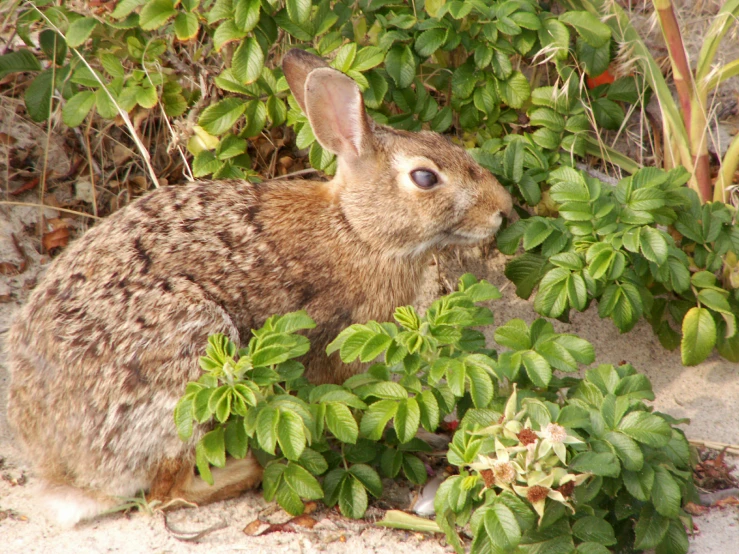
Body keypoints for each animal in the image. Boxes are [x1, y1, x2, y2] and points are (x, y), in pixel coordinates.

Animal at [4, 48, 516, 528]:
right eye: (425, 177)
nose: (503, 209)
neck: (357, 229)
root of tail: (68, 474)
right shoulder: (340, 350)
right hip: (190, 361)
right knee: (167, 490)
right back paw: (251, 466)